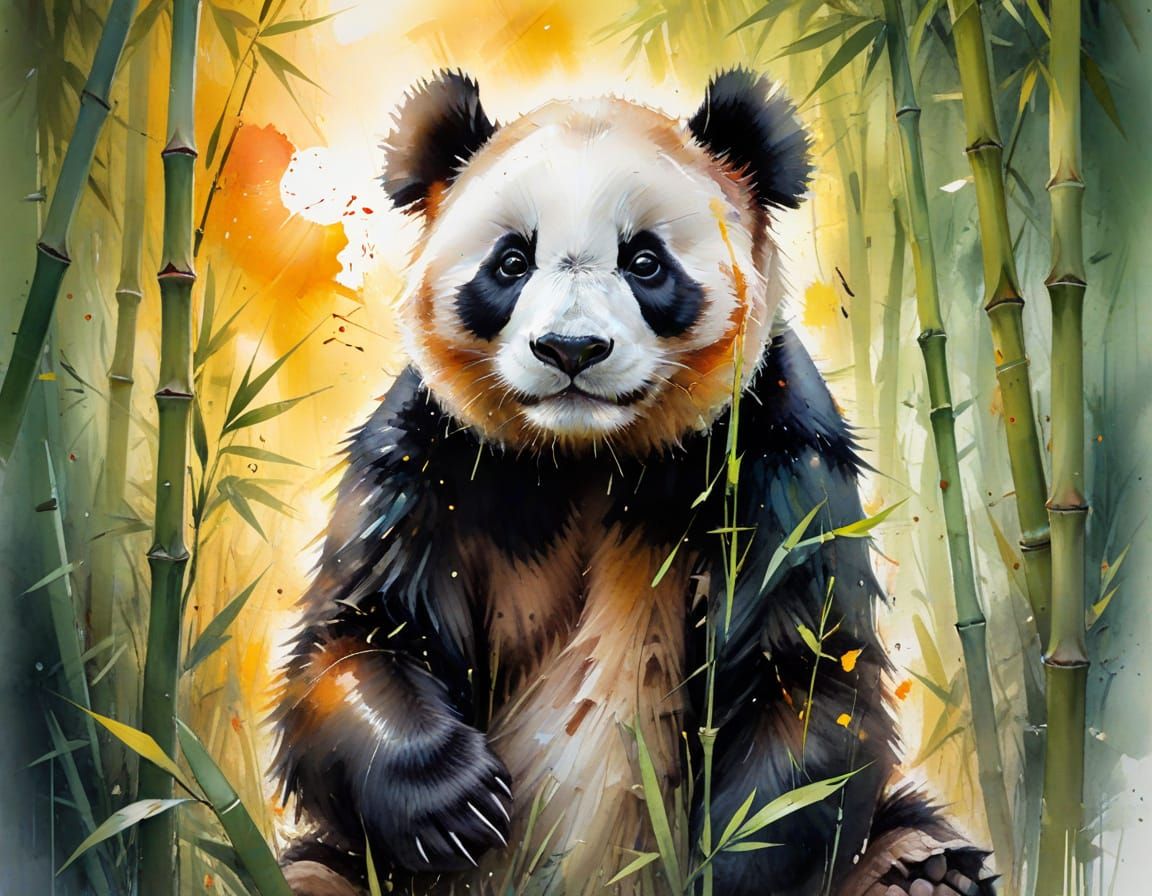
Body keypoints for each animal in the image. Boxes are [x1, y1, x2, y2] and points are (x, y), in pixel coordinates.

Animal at [271, 70, 996, 896]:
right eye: (511, 262)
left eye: (645, 262)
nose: (571, 348)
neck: (590, 453)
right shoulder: (434, 455)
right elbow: (362, 632)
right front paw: (456, 803)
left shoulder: (775, 455)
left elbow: (805, 667)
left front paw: (723, 860)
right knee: (314, 872)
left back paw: (923, 869)